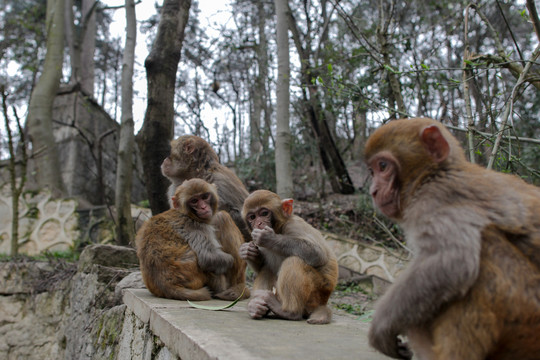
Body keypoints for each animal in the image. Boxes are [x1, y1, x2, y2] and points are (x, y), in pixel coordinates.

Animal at [239, 191, 338, 326]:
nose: (258, 224)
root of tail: (323, 301)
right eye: (252, 217)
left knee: (294, 261)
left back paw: (289, 312)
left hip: (317, 292)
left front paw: (269, 239)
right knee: (267, 269)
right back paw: (257, 307)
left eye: (264, 213)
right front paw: (248, 251)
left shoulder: (293, 225)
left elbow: (318, 254)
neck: (279, 229)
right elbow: (261, 266)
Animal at [362, 116, 540, 358]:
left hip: (527, 317)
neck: (432, 176)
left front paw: (381, 329)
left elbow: (451, 261)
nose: (373, 191)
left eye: (383, 166)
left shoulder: (436, 198)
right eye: (372, 172)